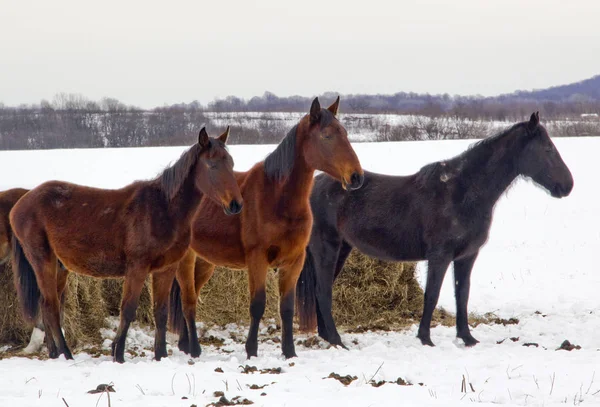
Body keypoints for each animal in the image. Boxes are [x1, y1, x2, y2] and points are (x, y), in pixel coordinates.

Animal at [10, 128, 243, 364]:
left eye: (231, 163)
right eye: (212, 165)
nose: (235, 204)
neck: (163, 209)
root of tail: (21, 203)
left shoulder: (166, 269)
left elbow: (161, 312)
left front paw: (160, 355)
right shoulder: (137, 268)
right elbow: (128, 309)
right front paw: (118, 353)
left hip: (59, 267)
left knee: (47, 305)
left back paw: (54, 353)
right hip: (43, 260)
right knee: (51, 307)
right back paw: (66, 354)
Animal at [169, 97, 366, 358]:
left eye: (344, 132)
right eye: (326, 135)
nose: (356, 177)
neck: (277, 199)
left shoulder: (294, 261)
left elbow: (287, 307)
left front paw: (289, 352)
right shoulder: (257, 259)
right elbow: (257, 304)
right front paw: (251, 351)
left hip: (205, 262)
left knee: (189, 296)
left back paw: (185, 345)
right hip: (186, 260)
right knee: (188, 300)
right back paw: (193, 349)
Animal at [298, 111, 576, 348]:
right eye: (548, 149)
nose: (568, 185)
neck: (462, 192)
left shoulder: (466, 256)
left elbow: (462, 294)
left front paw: (467, 338)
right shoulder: (439, 256)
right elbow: (431, 295)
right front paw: (425, 339)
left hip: (342, 249)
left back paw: (328, 338)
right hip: (327, 248)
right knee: (323, 291)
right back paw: (337, 340)